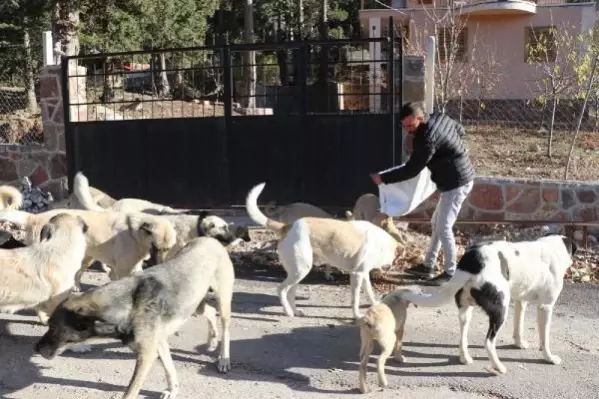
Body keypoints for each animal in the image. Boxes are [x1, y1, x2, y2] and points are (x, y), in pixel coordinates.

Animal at [0, 209, 178, 288]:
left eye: (168, 248)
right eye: (155, 247)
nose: (160, 265)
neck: (135, 234)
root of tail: (35, 217)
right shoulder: (124, 270)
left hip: (85, 257)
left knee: (77, 273)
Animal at [400, 234, 580, 376]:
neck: (552, 248)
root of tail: (472, 259)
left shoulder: (521, 301)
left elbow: (519, 325)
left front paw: (519, 343)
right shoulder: (545, 307)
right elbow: (545, 339)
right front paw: (549, 357)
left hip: (467, 309)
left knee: (463, 333)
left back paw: (465, 357)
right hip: (500, 309)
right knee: (488, 342)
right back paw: (498, 367)